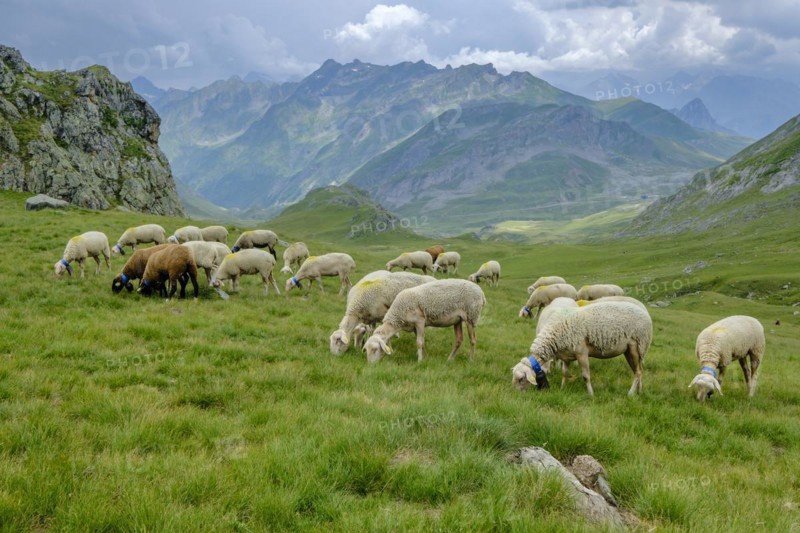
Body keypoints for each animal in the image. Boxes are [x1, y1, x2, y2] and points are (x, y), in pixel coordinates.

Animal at [511, 301, 652, 396]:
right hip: (630, 351)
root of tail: (645, 313)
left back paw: (631, 393)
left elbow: (585, 376)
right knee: (639, 371)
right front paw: (562, 389)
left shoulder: (582, 353)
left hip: (638, 345)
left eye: (521, 379)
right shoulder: (566, 356)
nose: (515, 395)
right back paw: (639, 391)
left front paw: (591, 394)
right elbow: (565, 373)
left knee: (638, 372)